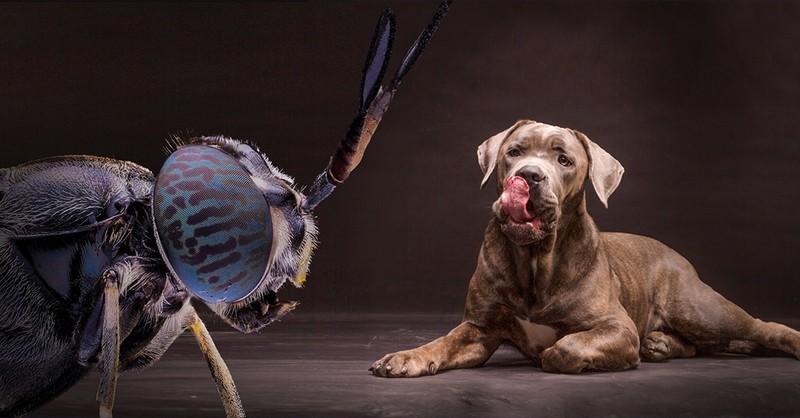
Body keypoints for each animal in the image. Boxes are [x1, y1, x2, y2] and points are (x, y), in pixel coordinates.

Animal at [368, 120, 800, 376]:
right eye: (514, 152)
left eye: (563, 160)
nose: (528, 175)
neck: (535, 259)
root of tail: (675, 254)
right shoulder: (479, 329)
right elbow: (442, 343)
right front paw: (406, 357)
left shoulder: (615, 327)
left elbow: (567, 347)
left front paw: (558, 353)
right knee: (697, 346)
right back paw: (661, 344)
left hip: (700, 309)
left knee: (762, 327)